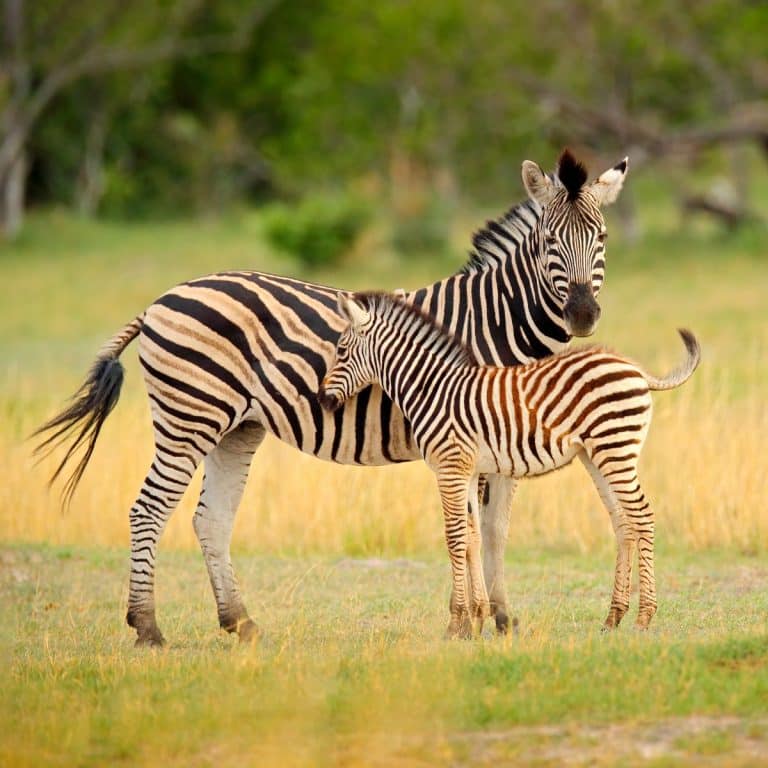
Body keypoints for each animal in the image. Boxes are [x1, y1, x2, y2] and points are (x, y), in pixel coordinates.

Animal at [34, 149, 629, 647]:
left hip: (236, 427)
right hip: (189, 417)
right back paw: (148, 627)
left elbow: (496, 531)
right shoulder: (462, 441)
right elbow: (470, 532)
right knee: (148, 510)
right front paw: (472, 619)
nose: (582, 315)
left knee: (210, 520)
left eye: (601, 238)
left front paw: (501, 618)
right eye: (550, 242)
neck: (494, 324)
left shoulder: (499, 445)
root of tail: (161, 299)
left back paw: (240, 623)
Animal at [318, 292, 700, 637]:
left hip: (615, 448)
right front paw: (476, 617)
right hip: (597, 454)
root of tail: (636, 370)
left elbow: (454, 537)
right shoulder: (469, 470)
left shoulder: (450, 467)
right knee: (624, 523)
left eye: (341, 351)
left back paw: (644, 617)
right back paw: (613, 617)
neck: (433, 389)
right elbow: (471, 537)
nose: (322, 400)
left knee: (642, 517)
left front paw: (456, 623)